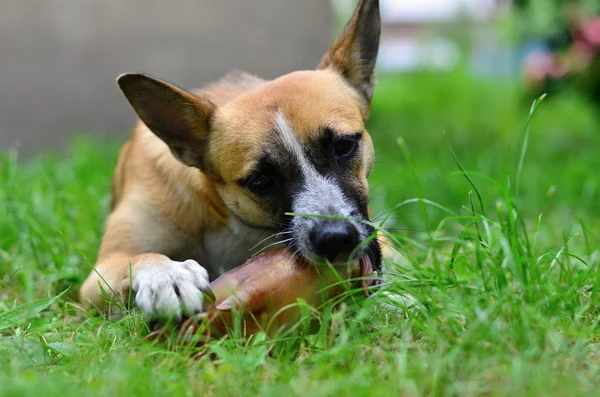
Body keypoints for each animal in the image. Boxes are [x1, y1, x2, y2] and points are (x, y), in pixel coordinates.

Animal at [79, 0, 382, 318]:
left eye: (344, 146)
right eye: (260, 181)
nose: (335, 238)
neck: (223, 213)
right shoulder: (100, 273)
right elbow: (138, 257)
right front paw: (166, 274)